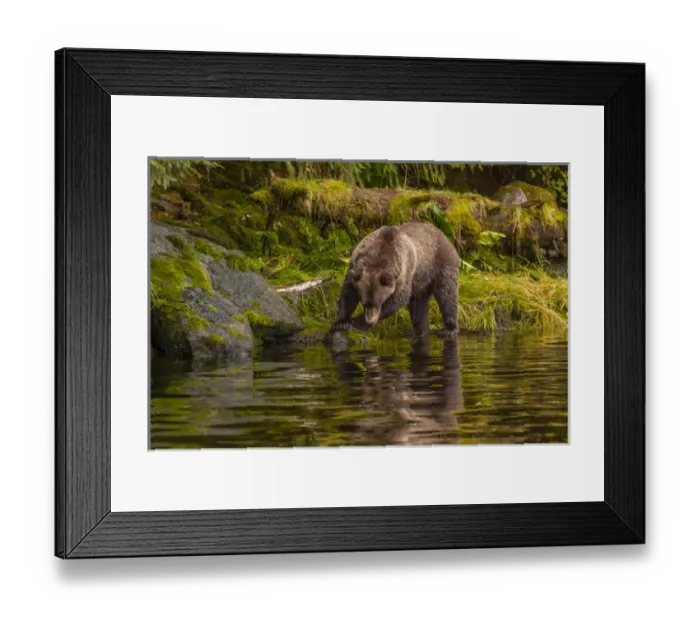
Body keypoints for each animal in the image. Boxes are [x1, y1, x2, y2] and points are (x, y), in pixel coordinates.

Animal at [331, 222, 461, 337]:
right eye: (364, 303)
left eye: (377, 303)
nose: (370, 320)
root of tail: (442, 234)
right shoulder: (355, 267)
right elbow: (348, 293)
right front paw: (341, 323)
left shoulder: (403, 272)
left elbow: (398, 299)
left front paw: (356, 321)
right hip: (420, 281)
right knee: (419, 304)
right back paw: (418, 332)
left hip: (440, 264)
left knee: (446, 294)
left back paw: (449, 330)